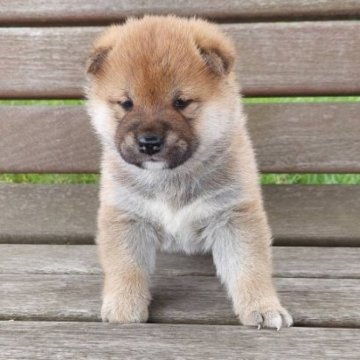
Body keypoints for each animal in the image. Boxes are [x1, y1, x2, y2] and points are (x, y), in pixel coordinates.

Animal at [85, 16, 292, 330]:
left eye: (181, 102)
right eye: (127, 103)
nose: (148, 142)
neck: (170, 178)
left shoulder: (234, 214)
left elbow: (249, 267)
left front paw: (264, 307)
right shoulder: (126, 216)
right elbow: (126, 266)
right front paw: (124, 306)